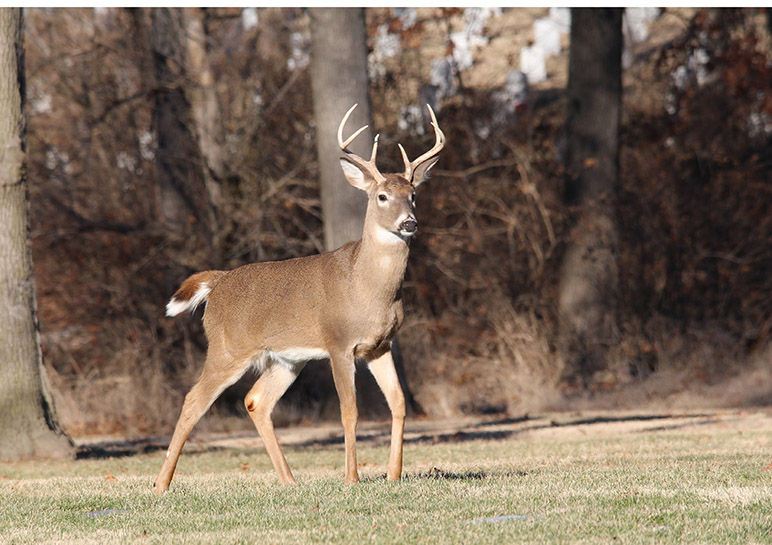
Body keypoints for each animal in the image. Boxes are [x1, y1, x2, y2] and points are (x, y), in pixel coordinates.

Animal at [154, 102, 444, 492]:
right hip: (228, 348)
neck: (369, 289)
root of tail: (217, 283)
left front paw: (393, 474)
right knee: (192, 400)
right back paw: (161, 484)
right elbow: (349, 410)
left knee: (256, 400)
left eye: (413, 195)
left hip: (287, 359)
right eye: (381, 196)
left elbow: (398, 403)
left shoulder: (380, 345)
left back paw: (289, 480)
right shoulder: (339, 342)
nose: (409, 223)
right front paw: (351, 478)